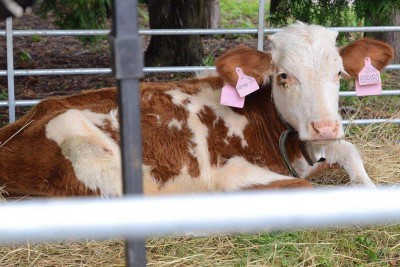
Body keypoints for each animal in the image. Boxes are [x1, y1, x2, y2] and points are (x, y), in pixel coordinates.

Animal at [0, 23, 394, 198]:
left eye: (339, 73)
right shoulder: (230, 173)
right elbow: (304, 186)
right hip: (88, 155)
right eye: (284, 75)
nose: (324, 126)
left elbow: (350, 152)